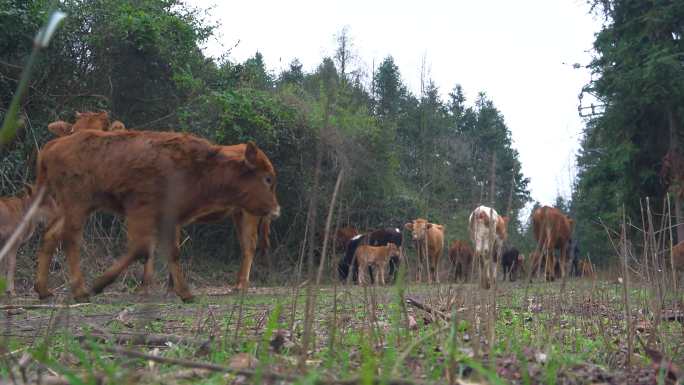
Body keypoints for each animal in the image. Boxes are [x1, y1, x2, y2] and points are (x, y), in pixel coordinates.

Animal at [33, 130, 280, 302]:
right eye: (267, 178)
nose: (276, 210)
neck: (200, 166)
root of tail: (53, 146)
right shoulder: (142, 212)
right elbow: (143, 249)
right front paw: (101, 284)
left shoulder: (168, 219)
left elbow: (169, 252)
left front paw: (183, 293)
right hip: (77, 205)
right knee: (70, 239)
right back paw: (81, 290)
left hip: (73, 207)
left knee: (51, 235)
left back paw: (44, 290)